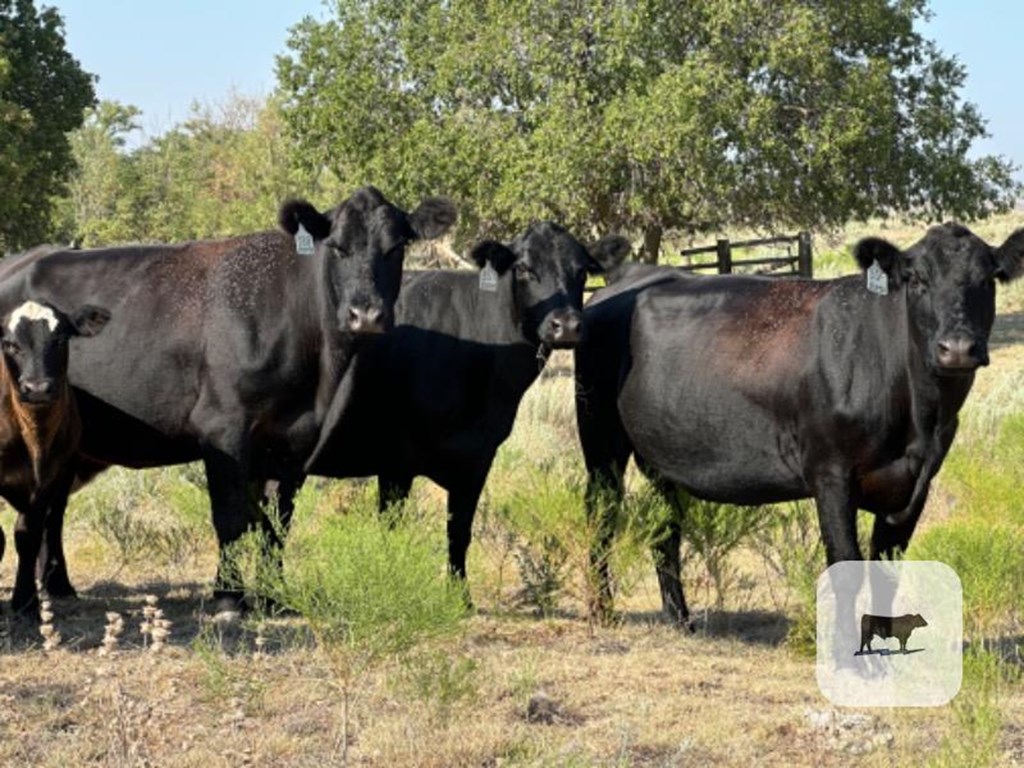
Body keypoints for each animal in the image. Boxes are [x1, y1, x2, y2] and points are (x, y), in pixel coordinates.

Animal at [0, 186, 456, 614]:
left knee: (54, 507)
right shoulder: (222, 427)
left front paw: (272, 596)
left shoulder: (295, 442)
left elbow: (277, 523)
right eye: (337, 247)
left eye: (396, 247)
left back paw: (60, 586)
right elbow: (230, 516)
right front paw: (227, 598)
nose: (367, 315)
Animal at [299, 222, 626, 581]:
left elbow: (459, 533)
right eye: (524, 268)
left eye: (581, 270)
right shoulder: (397, 461)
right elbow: (393, 531)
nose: (565, 326)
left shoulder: (478, 457)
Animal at [577, 222, 1024, 626]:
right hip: (600, 437)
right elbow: (845, 566)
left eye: (988, 279)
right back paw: (602, 612)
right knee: (602, 514)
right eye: (916, 279)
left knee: (664, 530)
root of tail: (628, 274)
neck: (919, 417)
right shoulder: (831, 473)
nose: (957, 348)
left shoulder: (916, 482)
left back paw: (679, 618)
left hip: (663, 454)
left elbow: (886, 569)